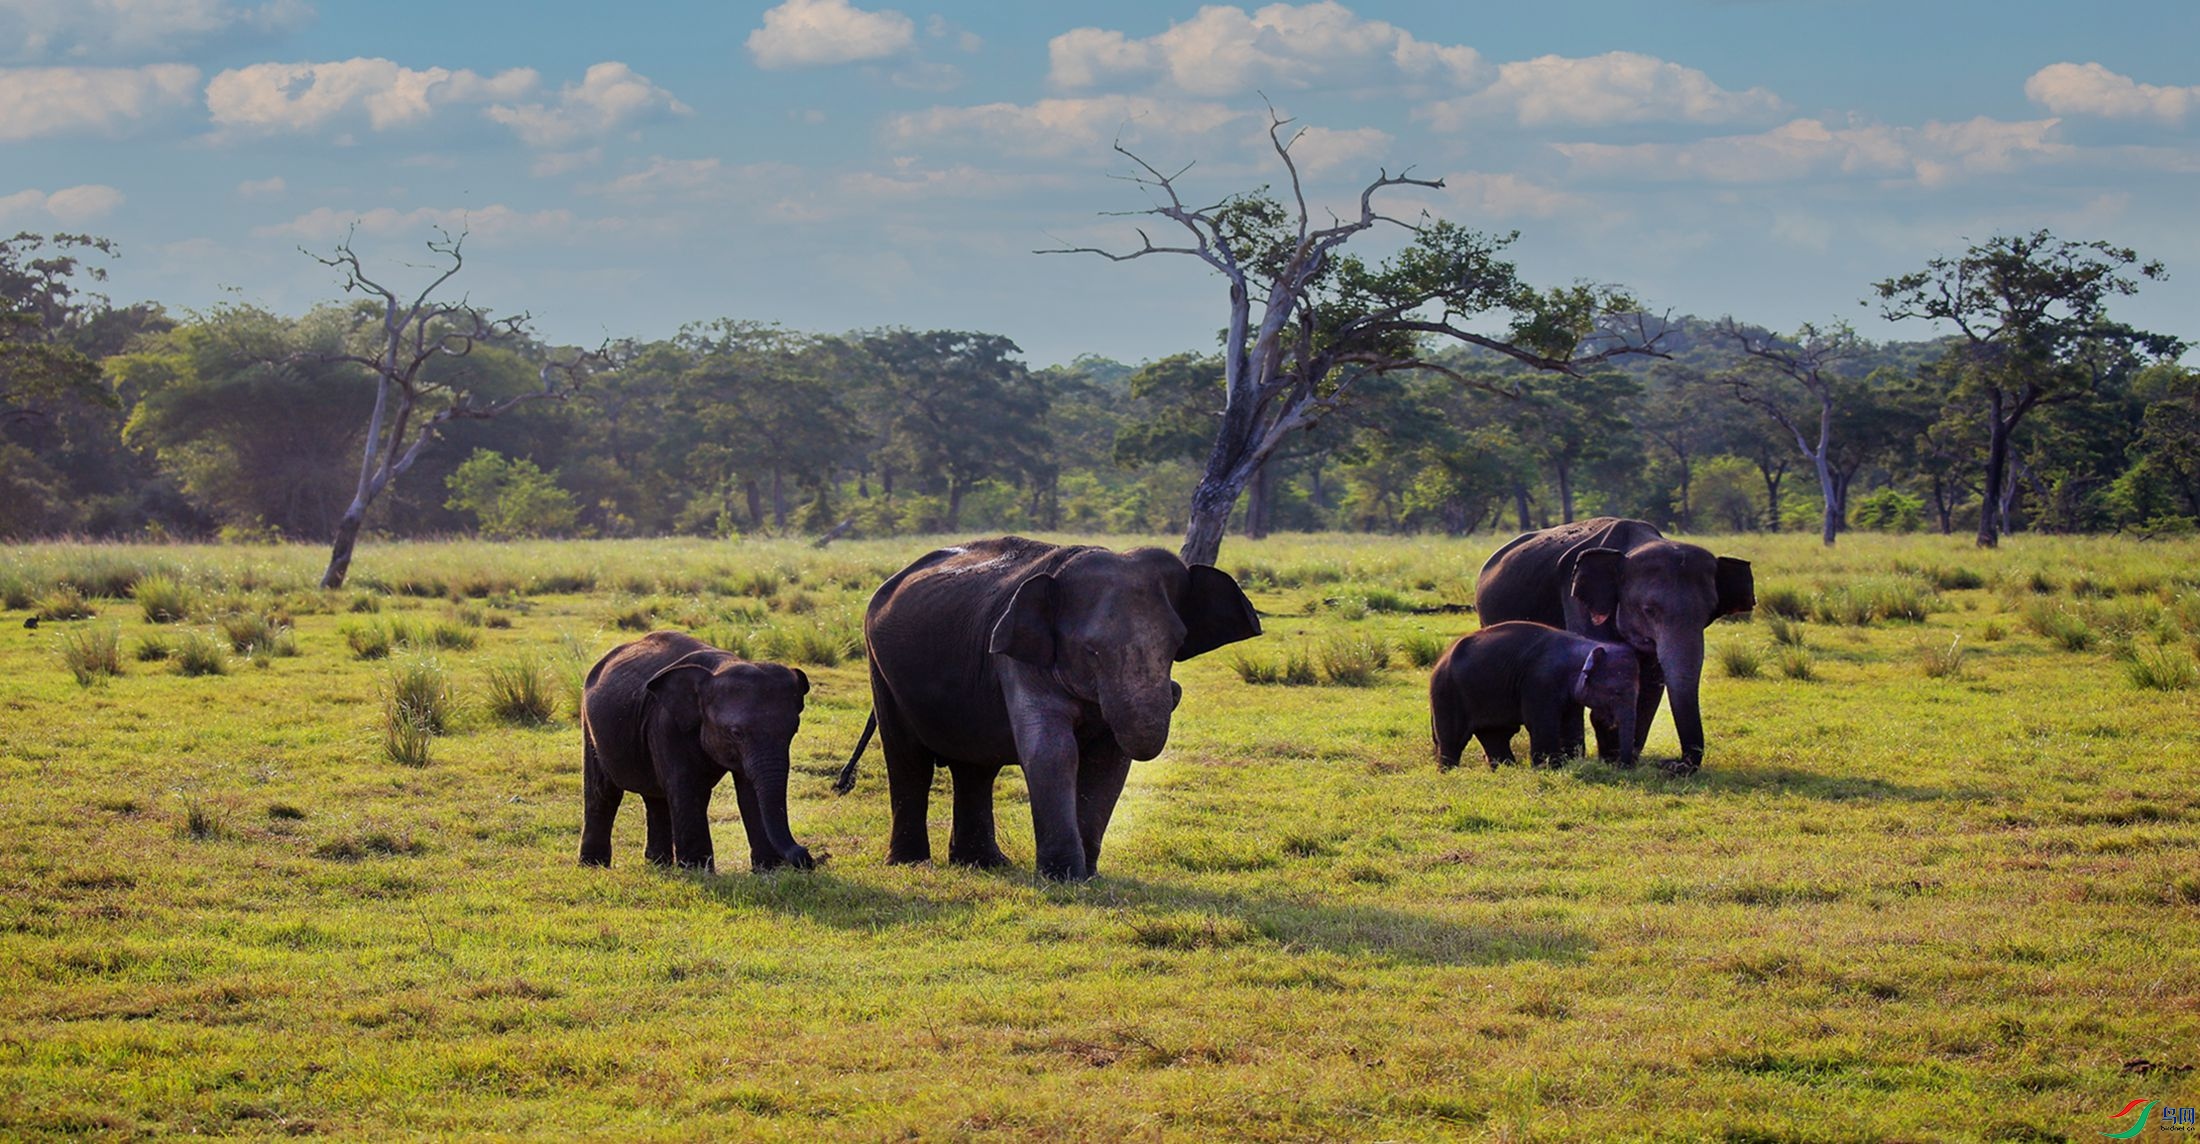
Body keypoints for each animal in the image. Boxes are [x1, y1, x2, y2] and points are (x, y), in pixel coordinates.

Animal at [585, 629, 818, 871]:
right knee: (603, 792)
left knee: (656, 797)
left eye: (794, 730)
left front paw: (768, 868)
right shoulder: (666, 724)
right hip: (591, 728)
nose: (806, 856)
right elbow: (686, 785)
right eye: (736, 733)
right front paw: (697, 869)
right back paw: (593, 865)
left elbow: (749, 791)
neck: (719, 667)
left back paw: (659, 864)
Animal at [836, 539, 1258, 884]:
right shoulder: (1017, 657)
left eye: (1177, 644)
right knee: (908, 759)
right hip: (881, 669)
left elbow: (1108, 761)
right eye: (1091, 650)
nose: (1174, 690)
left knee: (975, 768)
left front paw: (1087, 875)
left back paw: (983, 864)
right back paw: (910, 864)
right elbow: (1052, 751)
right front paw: (1063, 877)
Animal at [1434, 620, 1645, 774]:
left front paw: (1567, 764)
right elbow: (1542, 723)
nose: (1622, 767)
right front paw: (1548, 769)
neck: (1584, 647)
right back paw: (1448, 773)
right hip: (1447, 691)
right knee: (1453, 739)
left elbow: (1570, 723)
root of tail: (1442, 658)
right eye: (1616, 692)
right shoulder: (1540, 682)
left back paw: (1506, 770)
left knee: (1495, 735)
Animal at [1469, 523, 1760, 774]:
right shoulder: (1578, 601)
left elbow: (1650, 685)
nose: (1672, 765)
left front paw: (1623, 759)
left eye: (1709, 614)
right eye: (1649, 610)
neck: (1635, 545)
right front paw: (1606, 760)